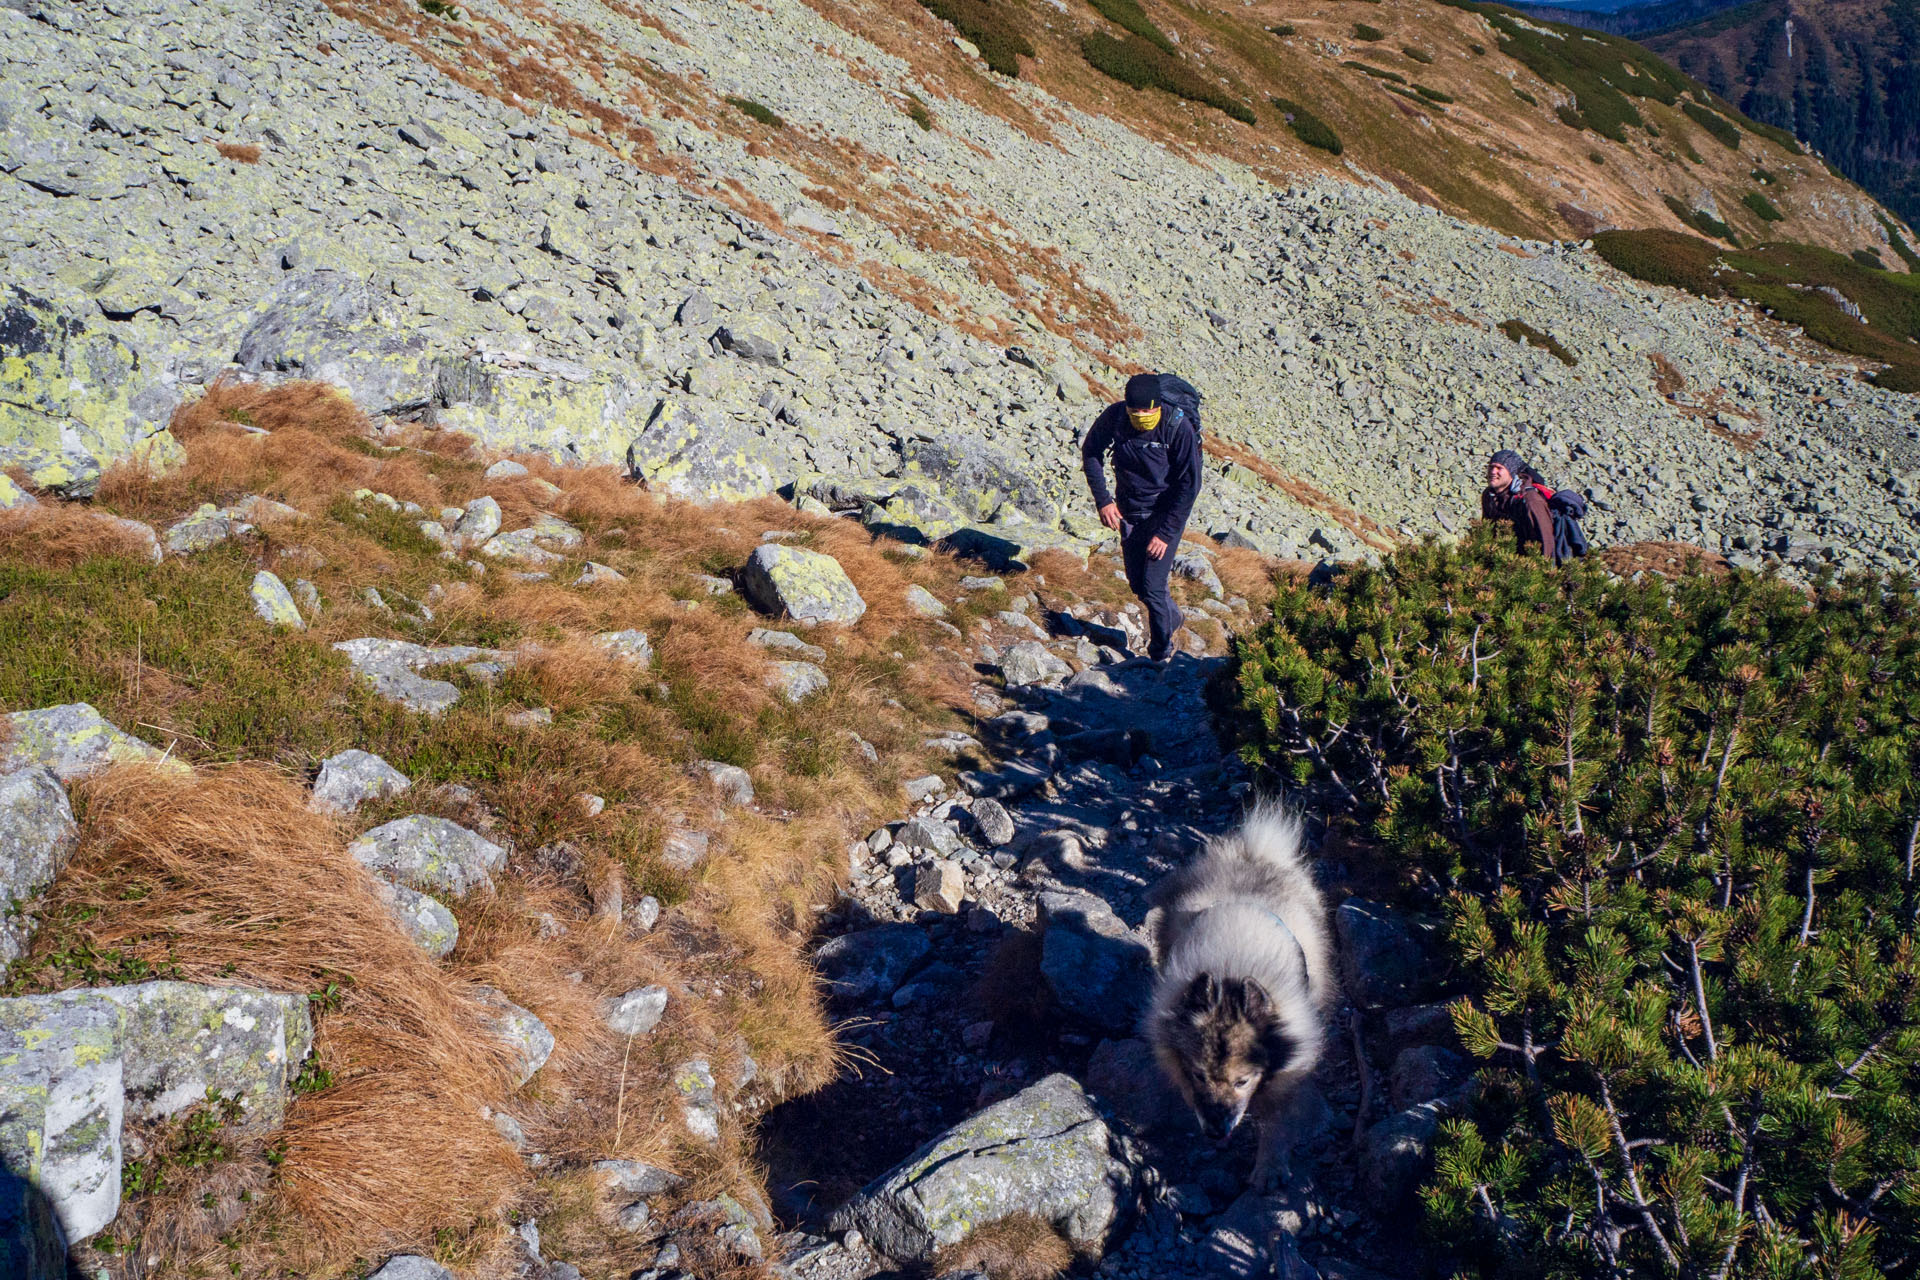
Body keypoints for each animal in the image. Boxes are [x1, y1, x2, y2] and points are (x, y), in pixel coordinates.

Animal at [1136, 805, 1336, 1189]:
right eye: (1199, 1075)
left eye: (1242, 1081)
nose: (1215, 1131)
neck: (1231, 972)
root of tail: (1256, 853)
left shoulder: (1288, 1072)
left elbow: (1276, 1121)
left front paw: (1270, 1168)